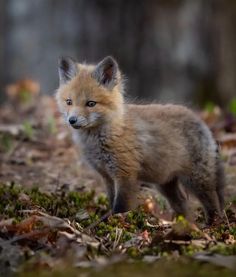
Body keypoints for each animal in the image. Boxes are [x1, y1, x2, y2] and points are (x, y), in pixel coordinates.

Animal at [55, 55, 225, 223]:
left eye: (91, 103)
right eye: (69, 102)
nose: (72, 120)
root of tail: (200, 120)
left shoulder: (126, 175)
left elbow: (120, 207)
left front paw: (118, 222)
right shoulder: (107, 176)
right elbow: (111, 202)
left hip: (196, 179)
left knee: (213, 202)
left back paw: (212, 225)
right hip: (165, 184)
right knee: (184, 205)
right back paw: (185, 226)